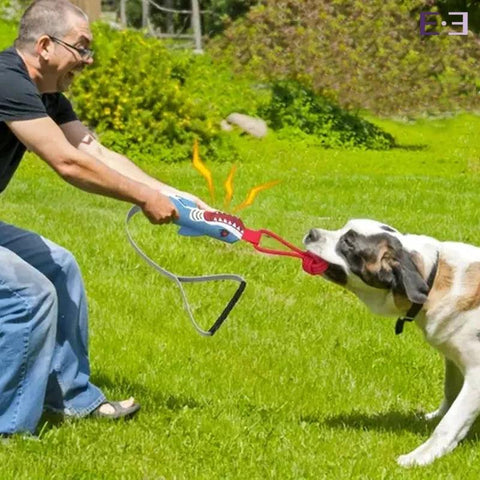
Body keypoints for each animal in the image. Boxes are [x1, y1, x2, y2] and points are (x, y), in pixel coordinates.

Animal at [304, 219, 480, 466]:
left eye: (348, 243)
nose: (311, 233)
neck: (432, 277)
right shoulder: (452, 356)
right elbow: (450, 391)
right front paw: (434, 417)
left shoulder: (477, 374)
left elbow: (450, 423)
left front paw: (421, 456)